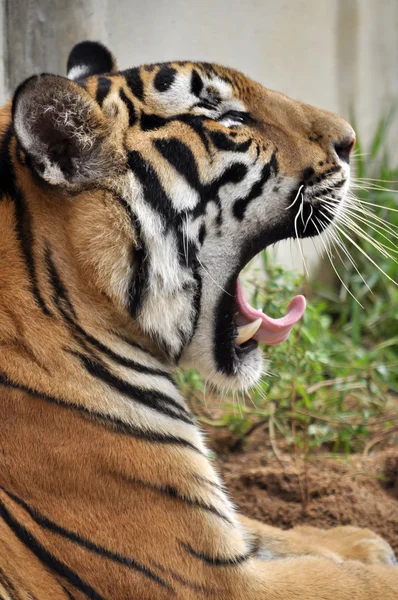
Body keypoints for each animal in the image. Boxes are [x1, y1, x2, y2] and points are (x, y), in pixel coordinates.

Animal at [0, 39, 396, 596]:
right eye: (230, 118)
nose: (351, 140)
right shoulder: (211, 576)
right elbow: (348, 581)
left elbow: (268, 528)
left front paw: (360, 540)